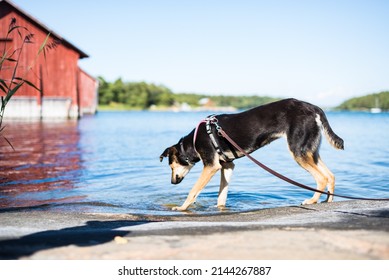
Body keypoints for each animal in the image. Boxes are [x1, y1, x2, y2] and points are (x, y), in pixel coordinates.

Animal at [160, 98, 342, 210]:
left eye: (171, 166)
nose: (172, 182)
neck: (192, 143)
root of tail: (313, 107)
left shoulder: (211, 166)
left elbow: (193, 190)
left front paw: (182, 207)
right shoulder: (227, 165)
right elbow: (221, 196)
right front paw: (220, 209)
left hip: (299, 152)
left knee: (322, 178)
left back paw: (312, 200)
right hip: (310, 151)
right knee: (330, 175)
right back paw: (328, 201)